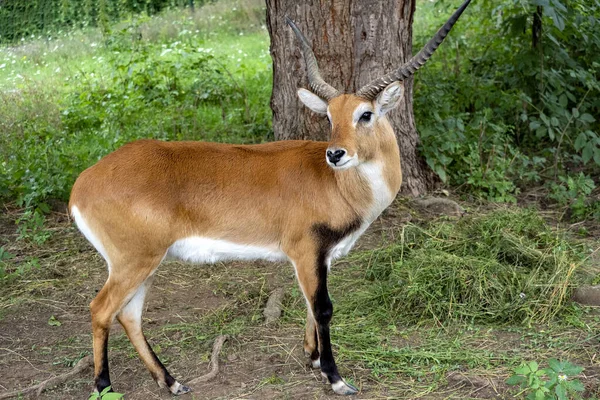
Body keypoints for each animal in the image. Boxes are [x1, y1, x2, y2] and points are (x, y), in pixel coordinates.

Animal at [70, 0, 472, 394]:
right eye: (329, 116)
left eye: (365, 114)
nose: (335, 154)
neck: (337, 185)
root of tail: (82, 184)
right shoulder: (305, 249)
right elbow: (323, 308)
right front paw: (336, 378)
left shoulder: (320, 256)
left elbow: (310, 306)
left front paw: (313, 358)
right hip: (134, 261)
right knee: (101, 309)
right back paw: (104, 385)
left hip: (146, 263)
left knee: (128, 315)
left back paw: (172, 382)